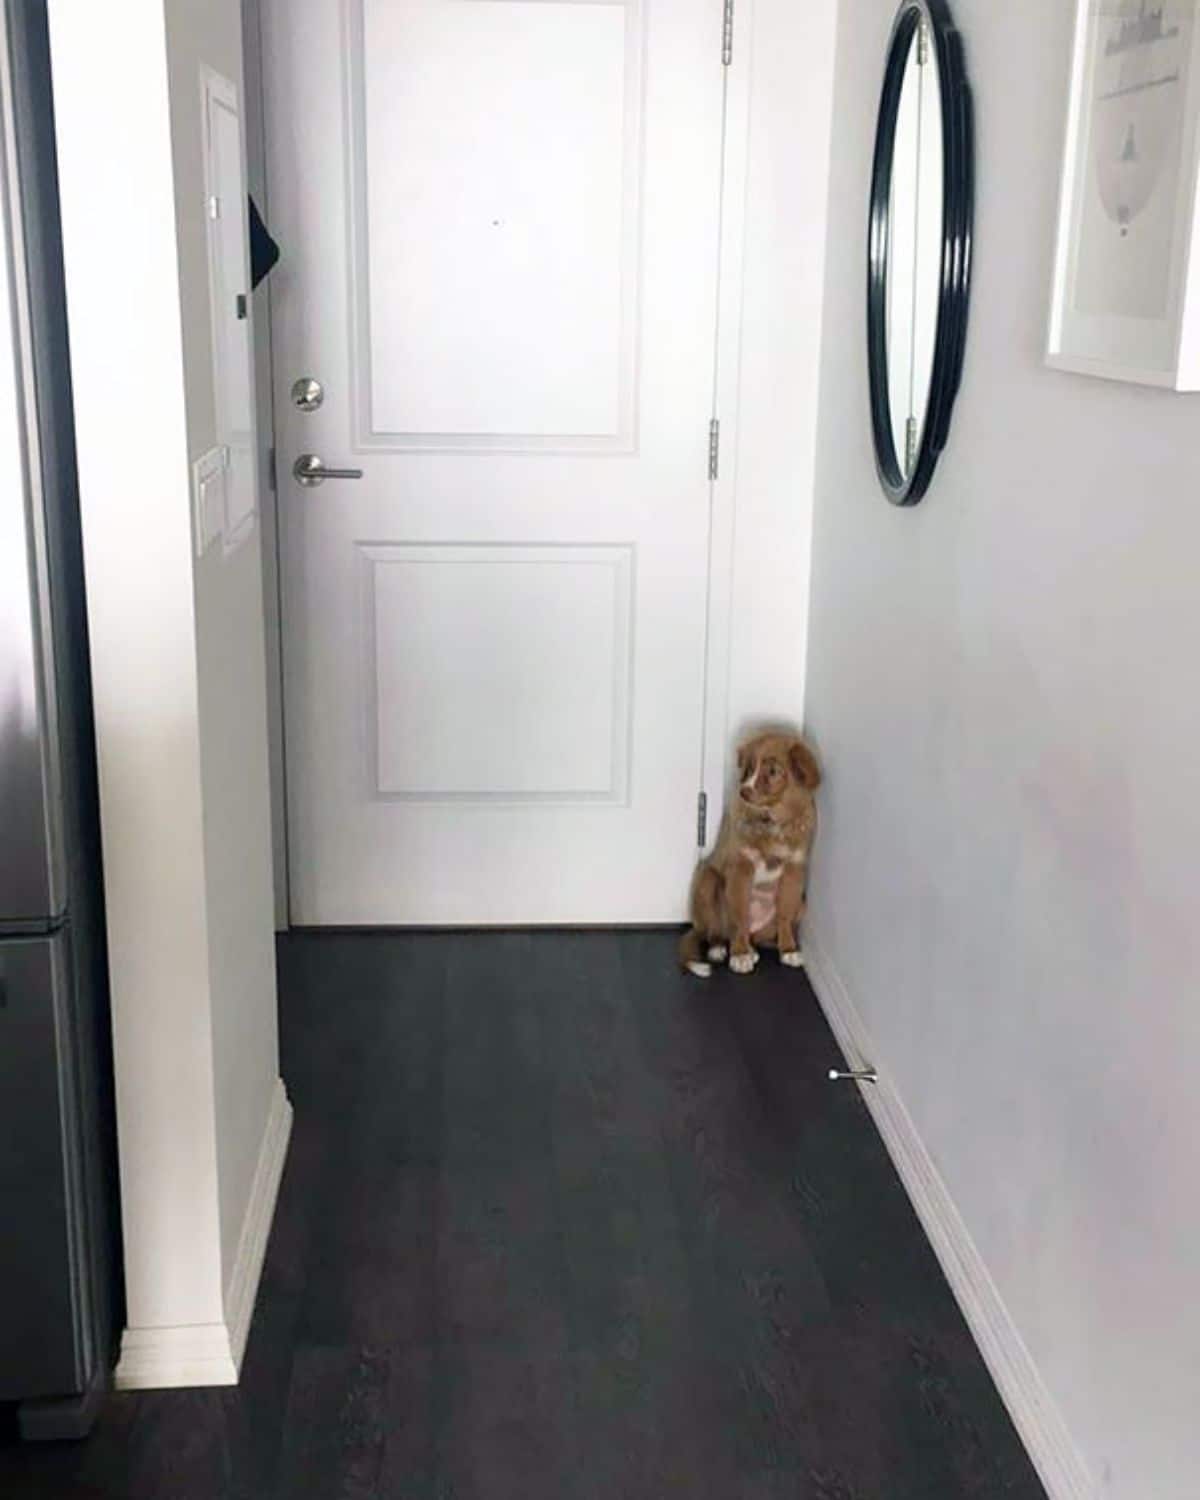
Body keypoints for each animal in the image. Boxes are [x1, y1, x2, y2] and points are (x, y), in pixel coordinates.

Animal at [681, 729, 822, 978]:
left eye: (773, 771)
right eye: (748, 768)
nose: (744, 792)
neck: (773, 821)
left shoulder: (794, 871)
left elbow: (785, 914)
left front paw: (788, 949)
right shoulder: (741, 867)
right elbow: (740, 916)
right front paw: (739, 955)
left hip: (802, 904)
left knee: (756, 935)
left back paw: (757, 947)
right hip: (707, 880)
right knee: (717, 930)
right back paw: (721, 948)